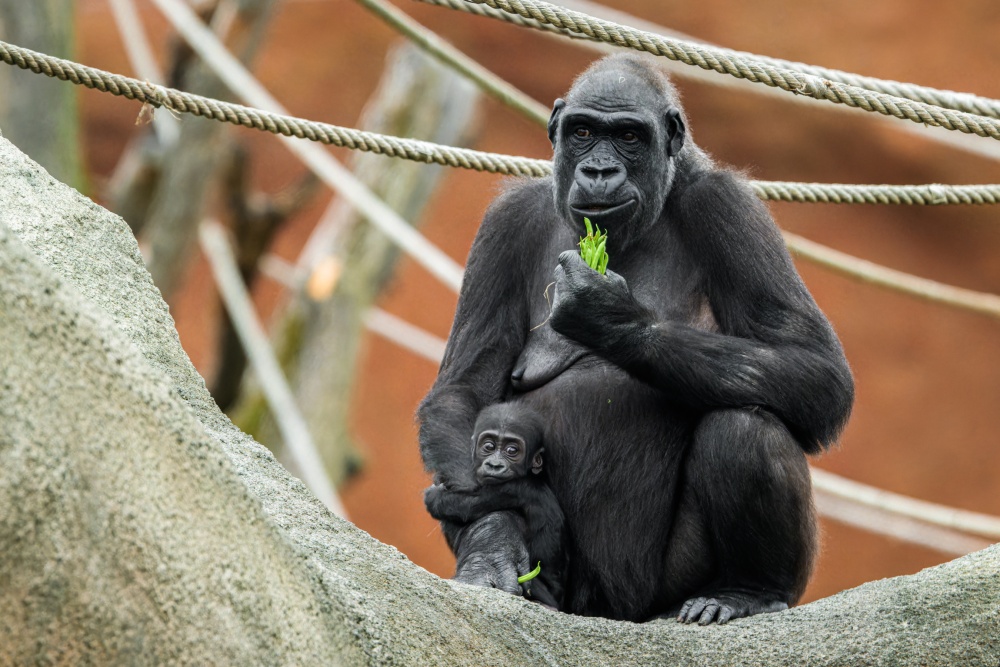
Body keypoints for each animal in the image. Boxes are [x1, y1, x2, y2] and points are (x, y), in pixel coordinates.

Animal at [422, 402, 568, 612]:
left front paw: (436, 497)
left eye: (512, 450)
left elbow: (469, 504)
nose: (494, 464)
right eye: (489, 446)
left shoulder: (514, 488)